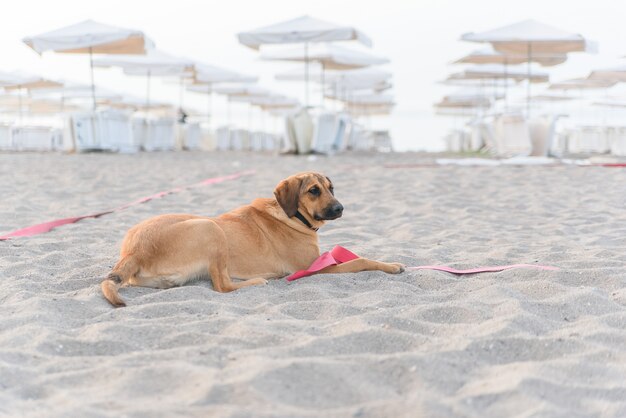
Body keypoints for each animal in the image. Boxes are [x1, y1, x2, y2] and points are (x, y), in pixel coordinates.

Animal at [101, 172, 404, 306]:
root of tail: (133, 252)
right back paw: (257, 281)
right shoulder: (313, 267)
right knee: (222, 286)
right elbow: (360, 260)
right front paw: (391, 265)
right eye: (314, 191)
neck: (294, 216)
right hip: (210, 228)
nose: (341, 208)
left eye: (331, 188)